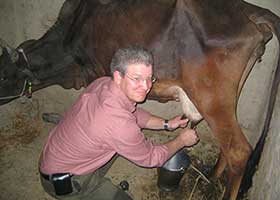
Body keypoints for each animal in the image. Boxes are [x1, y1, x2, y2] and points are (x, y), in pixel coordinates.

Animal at [0, 0, 278, 200]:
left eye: (3, 75)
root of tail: (252, 11)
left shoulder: (97, 71)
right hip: (227, 98)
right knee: (228, 146)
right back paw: (210, 177)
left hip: (212, 98)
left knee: (239, 150)